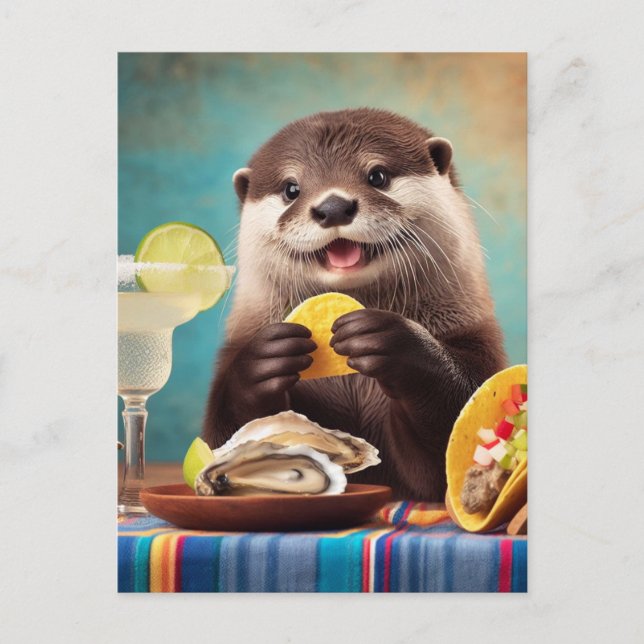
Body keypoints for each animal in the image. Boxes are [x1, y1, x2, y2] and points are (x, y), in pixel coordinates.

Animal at [203, 108, 507, 501]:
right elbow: (220, 434)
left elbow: (444, 455)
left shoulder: (476, 340)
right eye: (291, 189)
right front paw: (264, 360)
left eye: (377, 176)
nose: (333, 207)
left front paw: (393, 340)